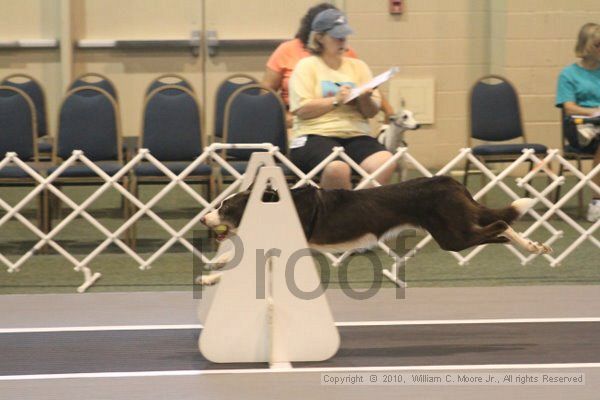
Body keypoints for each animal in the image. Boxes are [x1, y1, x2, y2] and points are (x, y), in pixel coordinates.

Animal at [198, 177, 552, 286]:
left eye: (224, 207)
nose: (203, 219)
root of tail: (452, 183)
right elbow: (236, 255)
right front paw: (215, 265)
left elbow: (240, 263)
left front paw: (210, 277)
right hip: (456, 230)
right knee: (499, 228)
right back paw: (534, 246)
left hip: (452, 235)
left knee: (501, 225)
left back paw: (532, 247)